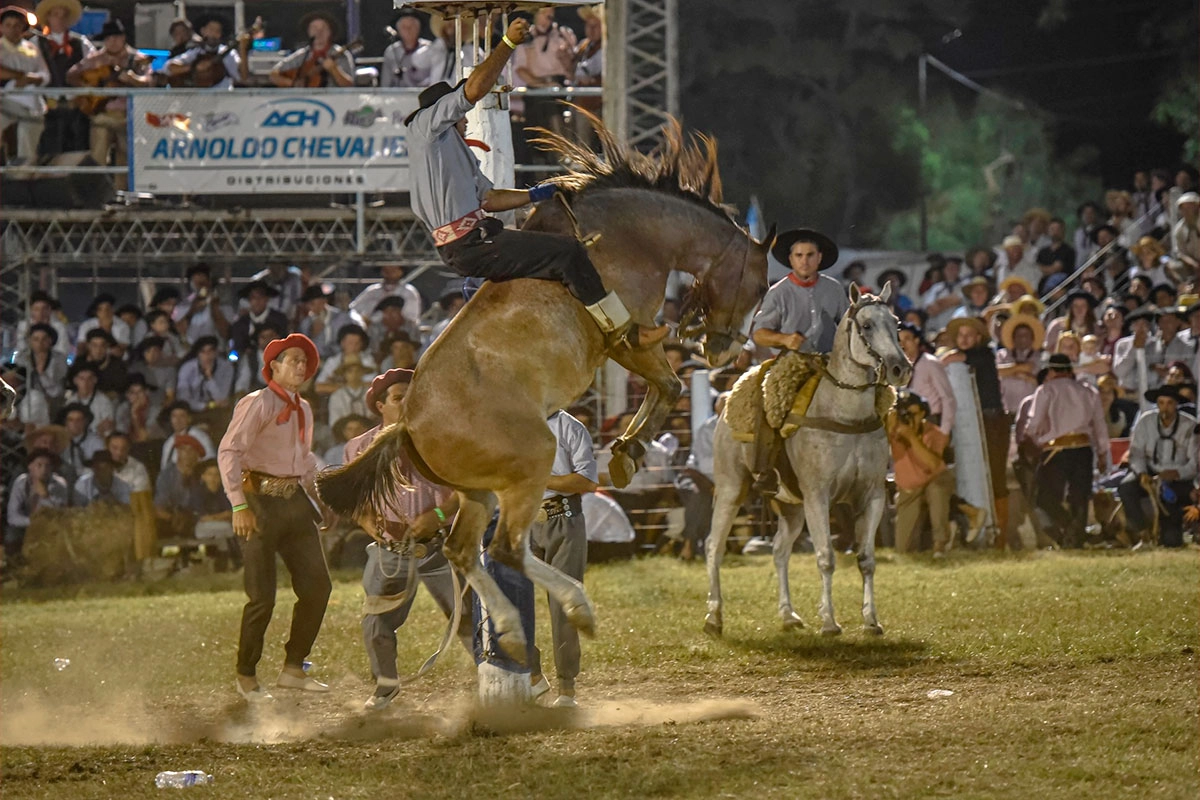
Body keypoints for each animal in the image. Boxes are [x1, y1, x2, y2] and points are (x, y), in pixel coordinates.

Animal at [316, 112, 768, 662]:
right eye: (761, 284)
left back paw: (512, 628)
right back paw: (573, 609)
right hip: (530, 460)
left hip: (478, 491)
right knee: (506, 547)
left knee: (465, 550)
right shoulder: (629, 337)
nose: (727, 351)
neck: (630, 235)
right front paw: (628, 451)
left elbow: (665, 388)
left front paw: (625, 451)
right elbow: (669, 385)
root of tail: (406, 425)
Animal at [700, 281, 907, 638]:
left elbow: (866, 559)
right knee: (714, 544)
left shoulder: (873, 496)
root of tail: (726, 405)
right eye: (867, 325)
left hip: (791, 507)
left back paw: (788, 615)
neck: (843, 414)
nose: (900, 368)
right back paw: (714, 616)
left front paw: (871, 620)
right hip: (731, 488)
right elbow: (826, 557)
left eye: (895, 322)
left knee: (780, 550)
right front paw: (829, 622)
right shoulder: (817, 495)